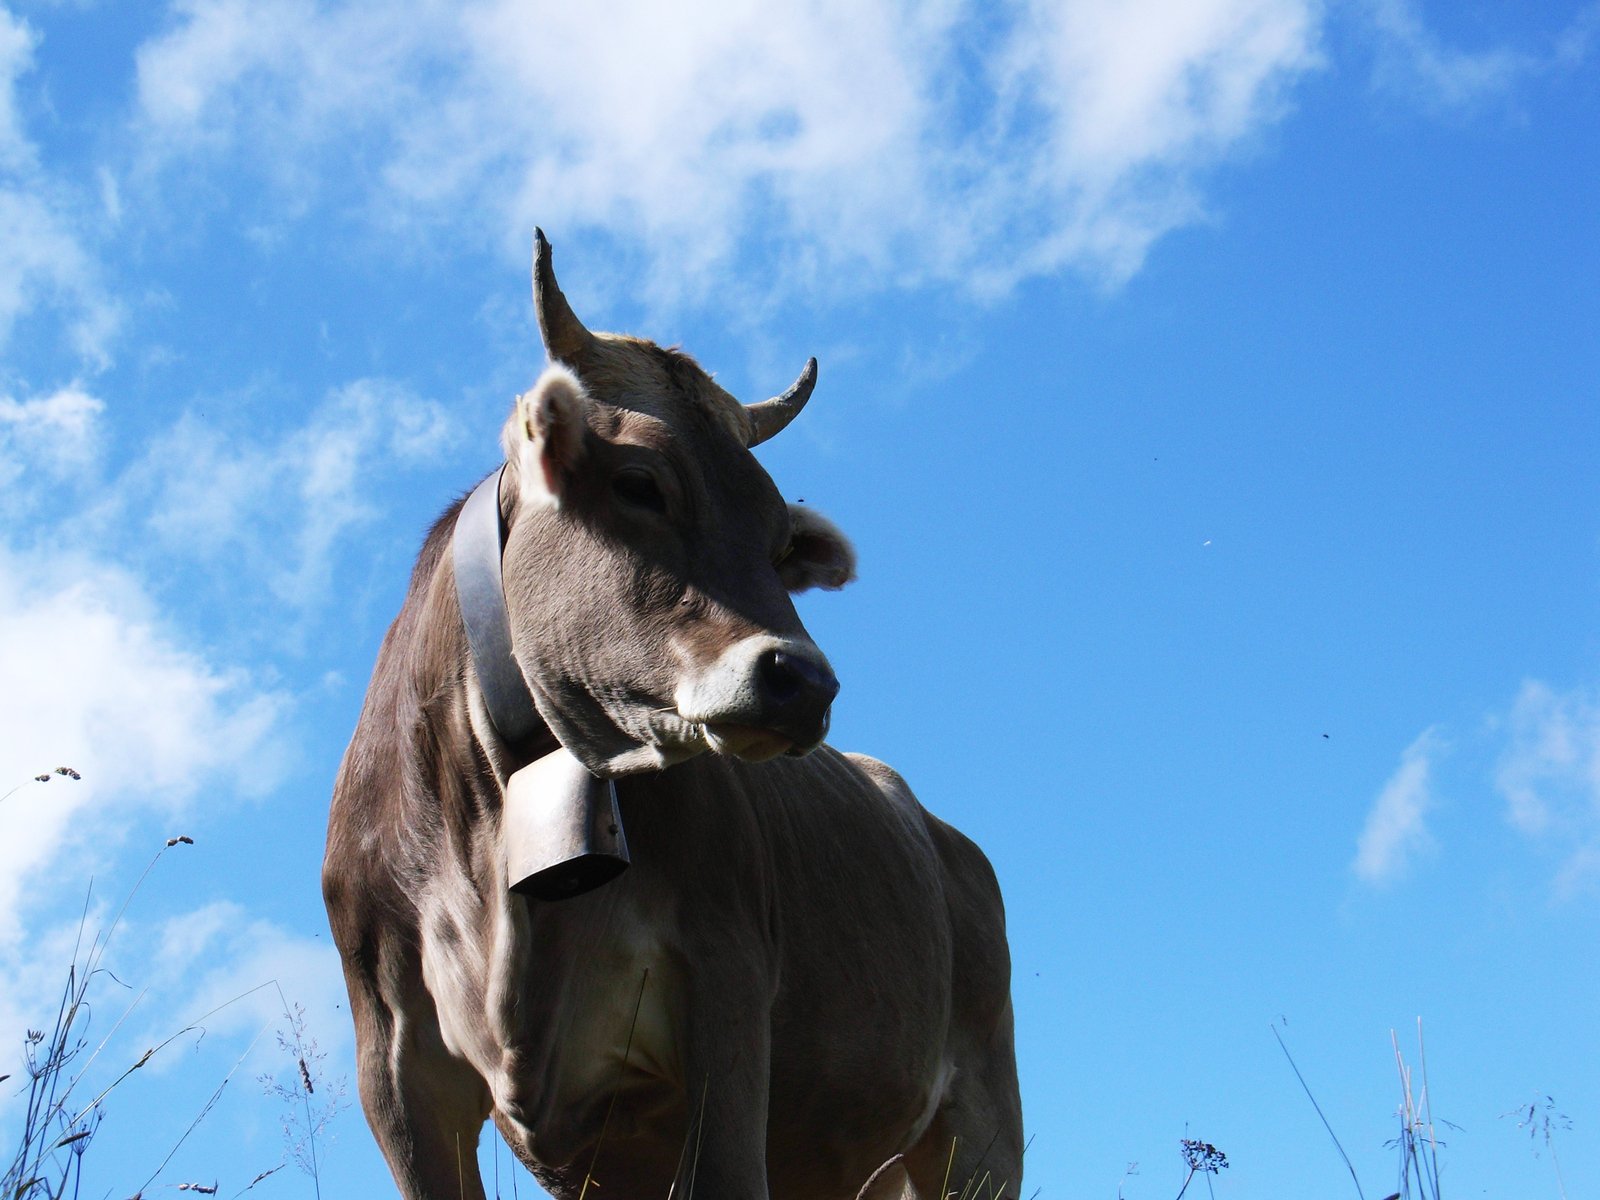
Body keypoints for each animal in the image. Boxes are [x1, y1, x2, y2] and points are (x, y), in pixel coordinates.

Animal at [324, 235, 1024, 1200]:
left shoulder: (726, 995)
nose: (803, 681)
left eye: (779, 540)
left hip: (978, 1131)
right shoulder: (394, 1067)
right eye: (640, 483)